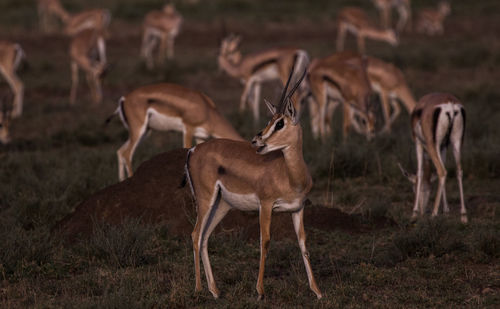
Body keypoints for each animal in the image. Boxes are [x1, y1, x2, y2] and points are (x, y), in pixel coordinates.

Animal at [108, 82, 243, 180]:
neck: (208, 110)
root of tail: (124, 99)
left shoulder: (200, 136)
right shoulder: (188, 128)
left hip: (145, 132)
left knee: (120, 151)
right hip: (139, 129)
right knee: (127, 153)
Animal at [186, 64, 322, 298]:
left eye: (280, 123)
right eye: (270, 121)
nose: (256, 140)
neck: (290, 176)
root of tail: (194, 150)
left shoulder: (298, 208)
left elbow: (303, 244)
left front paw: (317, 291)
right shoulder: (265, 205)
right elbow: (264, 241)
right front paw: (260, 291)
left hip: (221, 205)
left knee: (204, 237)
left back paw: (215, 291)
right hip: (206, 200)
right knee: (196, 235)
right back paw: (198, 289)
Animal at [408, 92, 466, 223]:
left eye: (413, 189)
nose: (422, 211)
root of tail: (450, 105)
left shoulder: (418, 143)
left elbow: (420, 173)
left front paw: (414, 213)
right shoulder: (443, 146)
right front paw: (446, 210)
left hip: (432, 145)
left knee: (442, 171)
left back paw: (434, 214)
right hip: (457, 142)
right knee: (458, 171)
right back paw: (464, 215)